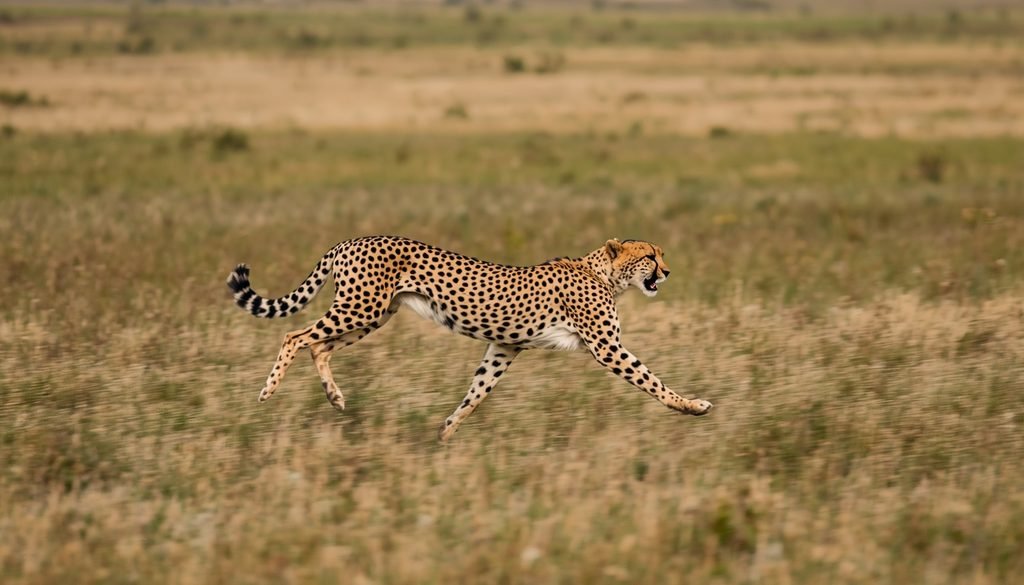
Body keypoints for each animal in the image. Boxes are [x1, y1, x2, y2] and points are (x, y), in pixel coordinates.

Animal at [227, 236, 712, 442]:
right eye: (650, 256)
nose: (668, 271)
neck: (602, 272)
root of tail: (352, 239)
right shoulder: (606, 347)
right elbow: (650, 378)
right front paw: (691, 405)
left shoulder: (504, 346)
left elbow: (477, 391)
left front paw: (445, 433)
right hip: (359, 308)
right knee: (295, 335)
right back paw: (268, 392)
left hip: (374, 314)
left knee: (318, 345)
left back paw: (335, 397)